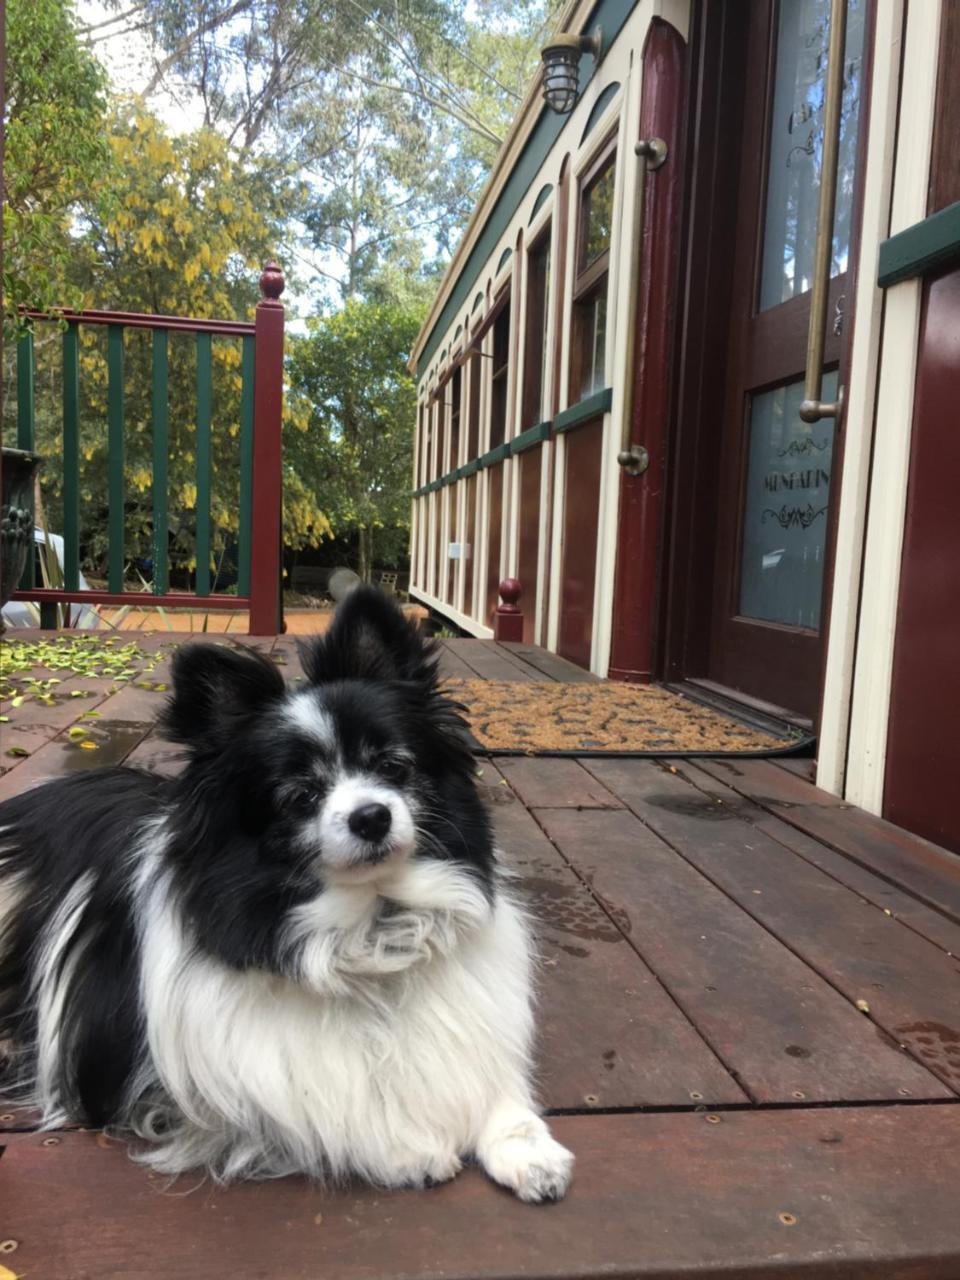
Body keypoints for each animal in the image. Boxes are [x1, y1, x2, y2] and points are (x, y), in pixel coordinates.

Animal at [0, 588, 570, 1198]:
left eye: (394, 766)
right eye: (301, 797)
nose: (372, 816)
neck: (373, 927)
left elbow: (489, 1085)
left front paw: (525, 1146)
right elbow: (333, 1114)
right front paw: (406, 1148)